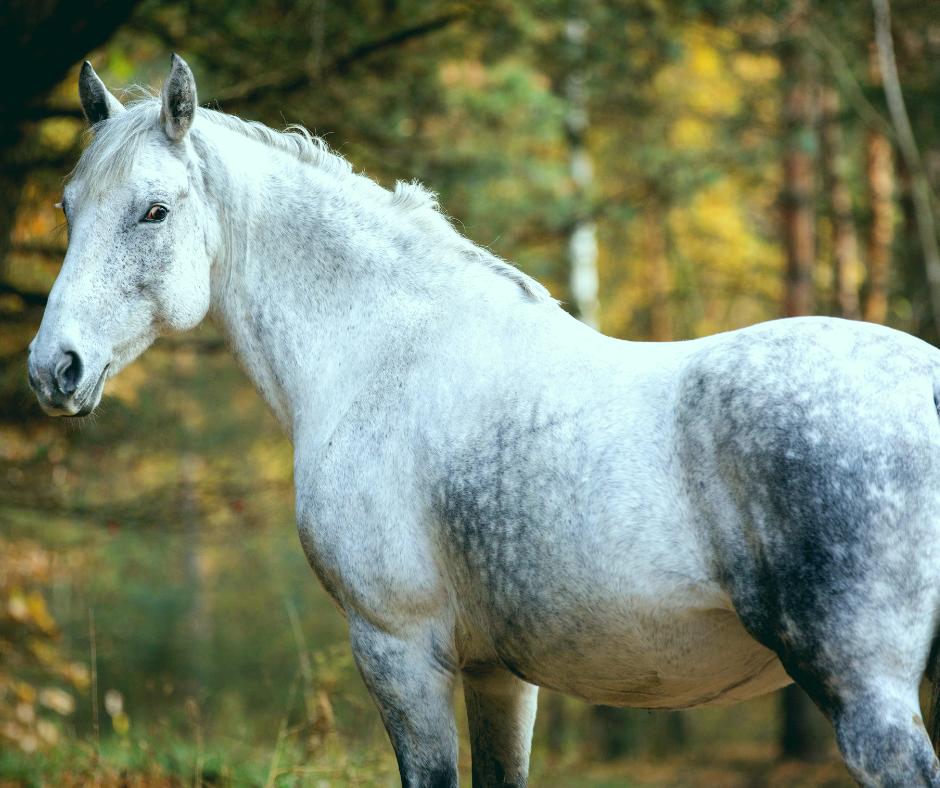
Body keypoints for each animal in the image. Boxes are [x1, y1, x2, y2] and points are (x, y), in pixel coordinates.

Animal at [27, 57, 940, 788]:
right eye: (67, 207)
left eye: (153, 211)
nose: (52, 368)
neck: (382, 353)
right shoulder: (501, 672)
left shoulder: (400, 652)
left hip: (867, 694)